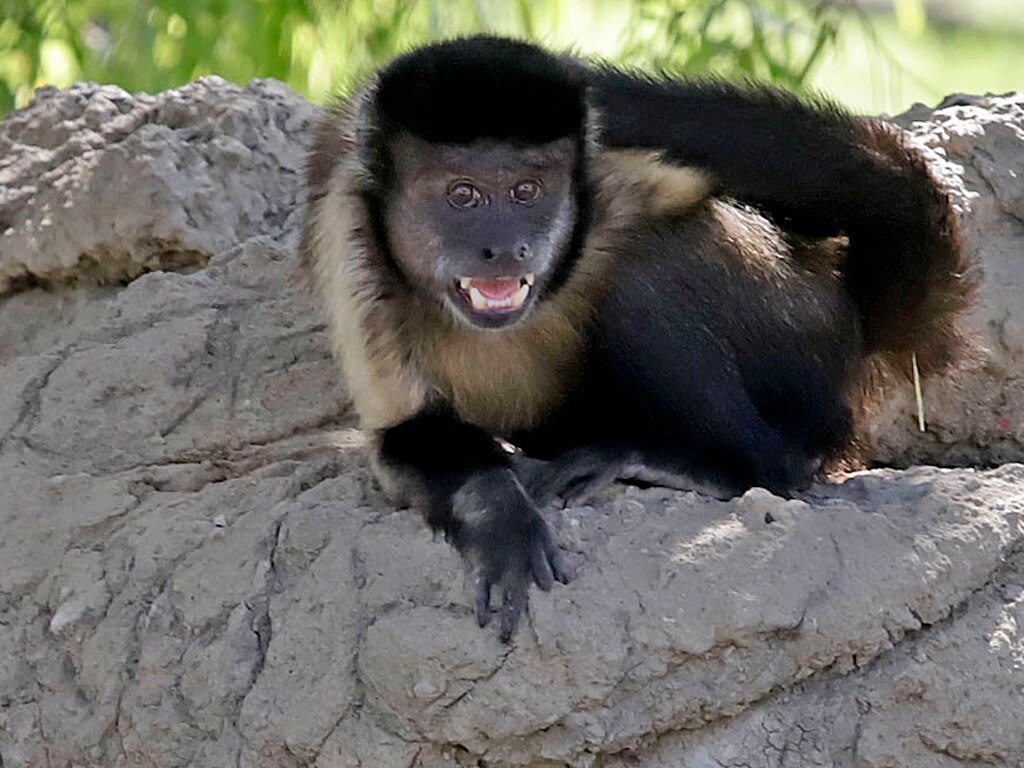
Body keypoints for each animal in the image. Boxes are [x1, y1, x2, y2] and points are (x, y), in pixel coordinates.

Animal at [301, 36, 976, 642]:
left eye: (526, 192)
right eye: (462, 194)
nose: (505, 245)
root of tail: (851, 320)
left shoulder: (608, 157)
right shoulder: (351, 231)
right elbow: (409, 434)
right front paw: (500, 514)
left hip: (802, 334)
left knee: (643, 276)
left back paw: (729, 466)